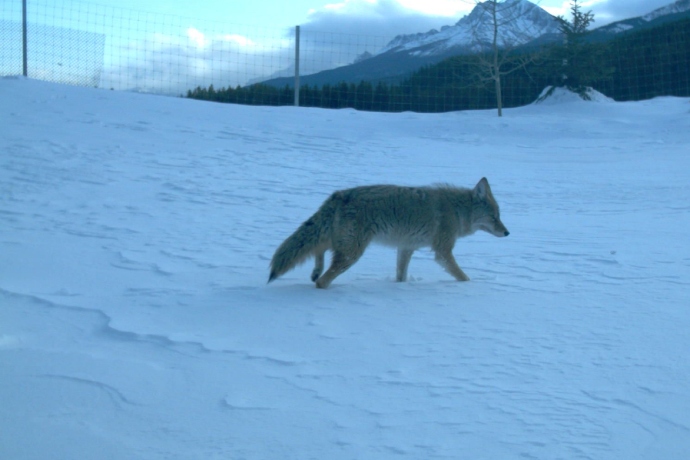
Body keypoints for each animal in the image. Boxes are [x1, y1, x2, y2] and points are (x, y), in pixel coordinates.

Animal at [266, 176, 508, 288]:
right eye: (495, 218)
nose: (507, 233)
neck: (457, 211)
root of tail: (339, 195)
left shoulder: (406, 248)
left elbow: (401, 276)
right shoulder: (443, 253)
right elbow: (462, 276)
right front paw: (471, 285)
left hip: (340, 244)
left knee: (320, 251)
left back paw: (315, 272)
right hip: (352, 254)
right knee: (322, 281)